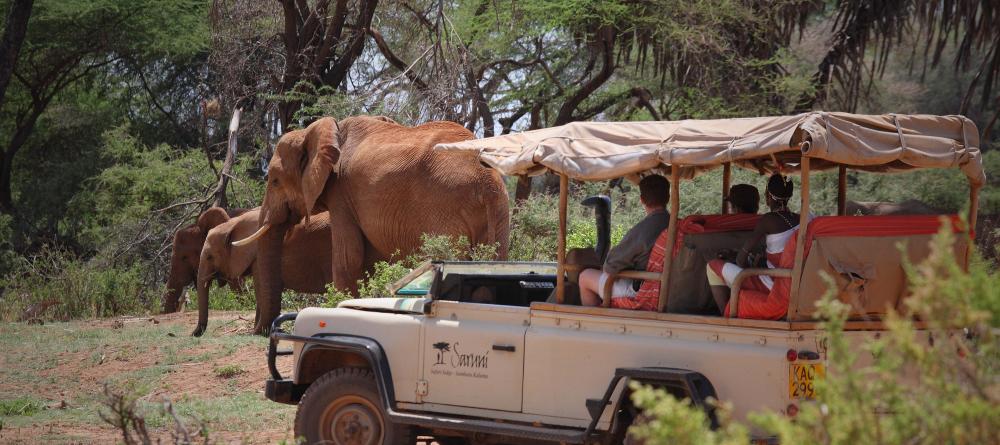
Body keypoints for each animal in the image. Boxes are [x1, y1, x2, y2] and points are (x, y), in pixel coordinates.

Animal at [193, 206, 334, 334]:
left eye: (210, 257)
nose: (194, 334)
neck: (232, 224)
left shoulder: (257, 257)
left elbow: (260, 290)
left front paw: (258, 331)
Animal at [234, 116, 508, 332]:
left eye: (275, 181)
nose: (260, 330)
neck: (319, 130)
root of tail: (486, 178)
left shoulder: (342, 195)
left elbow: (349, 257)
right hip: (498, 212)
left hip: (443, 207)